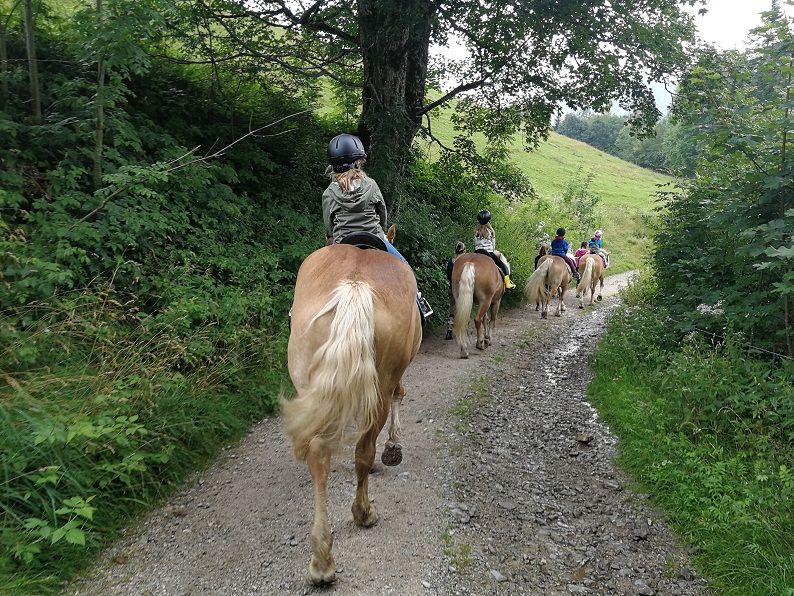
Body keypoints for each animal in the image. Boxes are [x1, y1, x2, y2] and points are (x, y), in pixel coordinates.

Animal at [283, 226, 422, 585]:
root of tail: (355, 285)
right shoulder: (393, 378)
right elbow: (400, 394)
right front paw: (393, 448)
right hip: (381, 386)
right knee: (364, 449)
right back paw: (363, 512)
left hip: (309, 379)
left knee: (319, 454)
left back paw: (321, 559)